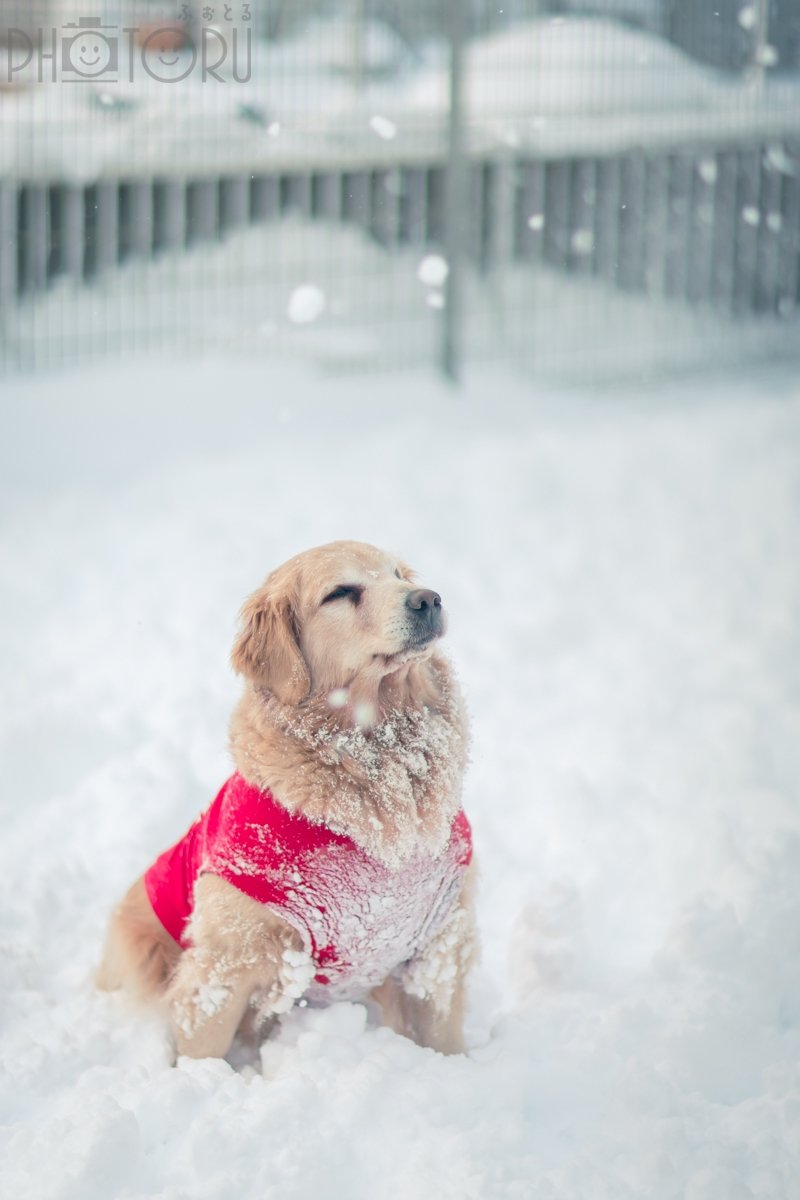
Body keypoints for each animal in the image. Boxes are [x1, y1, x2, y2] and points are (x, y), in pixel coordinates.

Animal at [98, 544, 474, 1060]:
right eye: (341, 592)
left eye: (399, 574)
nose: (429, 599)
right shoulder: (223, 964)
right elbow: (203, 1050)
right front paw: (202, 1079)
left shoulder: (441, 941)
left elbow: (444, 1040)